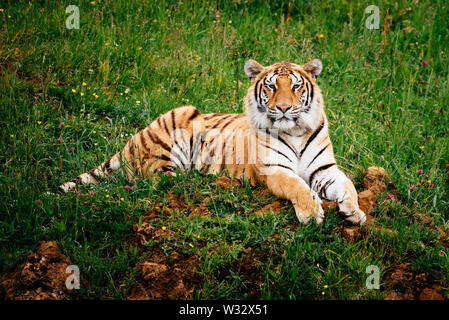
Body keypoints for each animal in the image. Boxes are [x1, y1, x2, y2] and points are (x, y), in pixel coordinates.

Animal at [58, 58, 364, 226]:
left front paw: (355, 212)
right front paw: (311, 214)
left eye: (297, 86)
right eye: (272, 86)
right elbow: (297, 187)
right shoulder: (275, 170)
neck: (296, 131)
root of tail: (131, 142)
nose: (285, 108)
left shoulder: (324, 170)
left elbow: (349, 186)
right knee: (158, 180)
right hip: (177, 123)